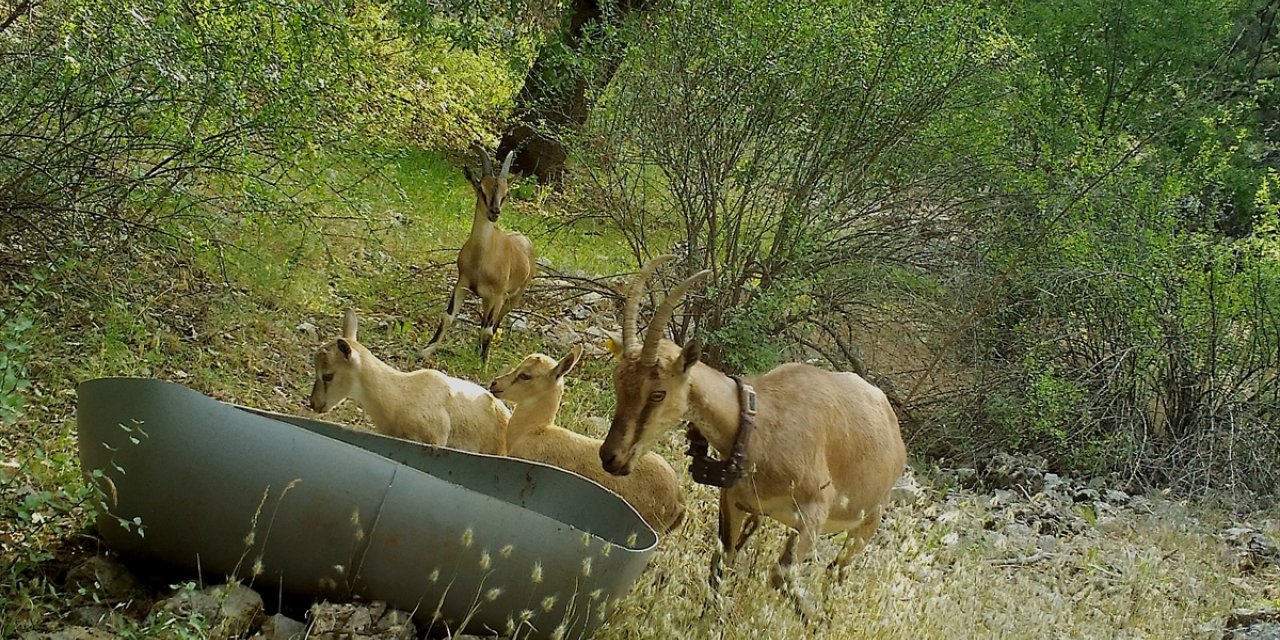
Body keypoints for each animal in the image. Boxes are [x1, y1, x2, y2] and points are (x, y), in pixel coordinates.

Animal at [422, 146, 537, 363]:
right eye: (482, 189)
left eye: (506, 194)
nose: (495, 212)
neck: (482, 259)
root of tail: (526, 242)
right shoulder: (463, 283)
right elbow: (448, 316)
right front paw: (427, 349)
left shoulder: (498, 294)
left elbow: (488, 330)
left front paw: (483, 364)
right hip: (487, 299)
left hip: (512, 298)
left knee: (495, 323)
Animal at [601, 254, 911, 593]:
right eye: (618, 380)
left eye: (658, 392)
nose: (611, 457)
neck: (759, 426)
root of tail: (893, 425)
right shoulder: (735, 505)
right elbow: (721, 564)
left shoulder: (814, 512)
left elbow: (781, 576)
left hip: (869, 519)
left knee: (837, 571)